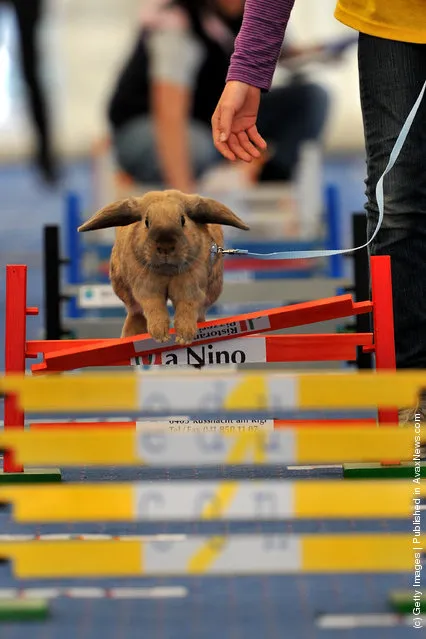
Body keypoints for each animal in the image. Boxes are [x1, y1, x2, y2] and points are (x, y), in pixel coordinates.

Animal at [79, 189, 250, 344]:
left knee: (199, 312)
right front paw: (160, 336)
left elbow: (186, 308)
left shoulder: (191, 287)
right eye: (146, 222)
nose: (165, 247)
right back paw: (130, 335)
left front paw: (184, 338)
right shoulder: (146, 288)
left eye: (182, 220)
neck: (167, 272)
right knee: (135, 312)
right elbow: (154, 307)